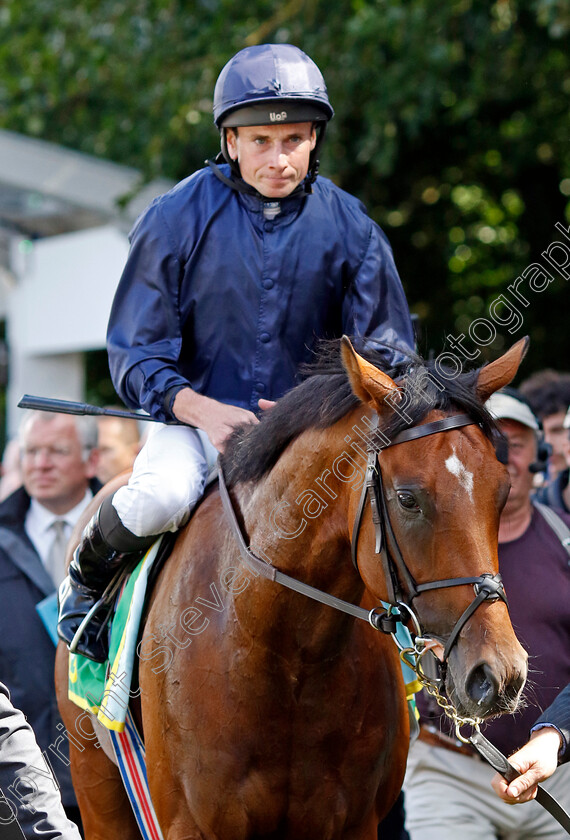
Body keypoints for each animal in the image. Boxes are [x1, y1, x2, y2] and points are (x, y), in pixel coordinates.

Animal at [55, 338, 524, 836]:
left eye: (503, 491)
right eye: (408, 498)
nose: (500, 675)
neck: (282, 651)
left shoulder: (355, 823)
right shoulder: (190, 824)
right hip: (96, 783)